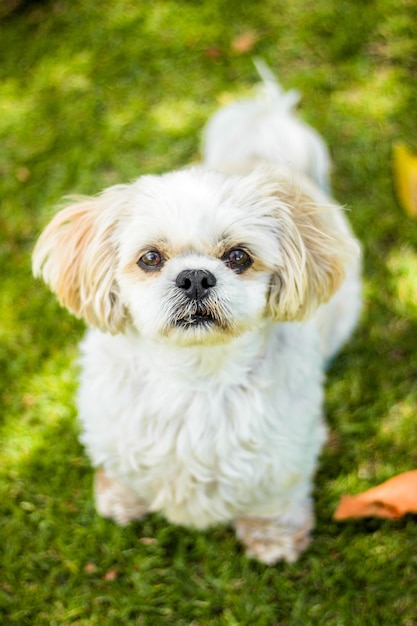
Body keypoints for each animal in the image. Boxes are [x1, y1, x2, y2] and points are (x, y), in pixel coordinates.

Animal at [32, 66, 360, 564]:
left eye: (239, 256)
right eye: (150, 258)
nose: (195, 278)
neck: (194, 375)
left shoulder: (285, 453)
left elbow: (275, 501)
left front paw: (273, 540)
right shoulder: (112, 429)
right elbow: (122, 470)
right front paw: (120, 501)